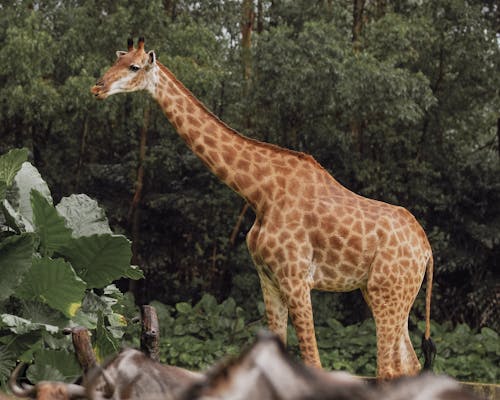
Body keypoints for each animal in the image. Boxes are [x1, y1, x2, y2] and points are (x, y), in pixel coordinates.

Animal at [92, 36, 436, 378]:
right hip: (387, 292)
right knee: (410, 363)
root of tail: (427, 250)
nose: (97, 87)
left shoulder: (296, 280)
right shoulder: (268, 279)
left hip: (386, 291)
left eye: (134, 66)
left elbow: (313, 361)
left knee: (389, 367)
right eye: (115, 60)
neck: (259, 194)